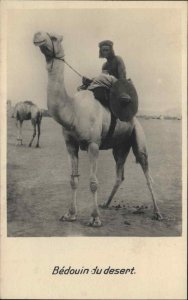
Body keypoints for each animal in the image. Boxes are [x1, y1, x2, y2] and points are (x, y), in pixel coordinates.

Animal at [32, 31, 162, 226]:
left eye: (53, 37)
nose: (37, 35)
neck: (73, 111)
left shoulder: (93, 144)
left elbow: (93, 182)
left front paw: (94, 218)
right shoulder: (70, 144)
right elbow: (73, 180)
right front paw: (70, 214)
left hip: (138, 137)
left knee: (147, 173)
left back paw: (157, 213)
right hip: (119, 146)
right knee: (120, 174)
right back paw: (106, 204)